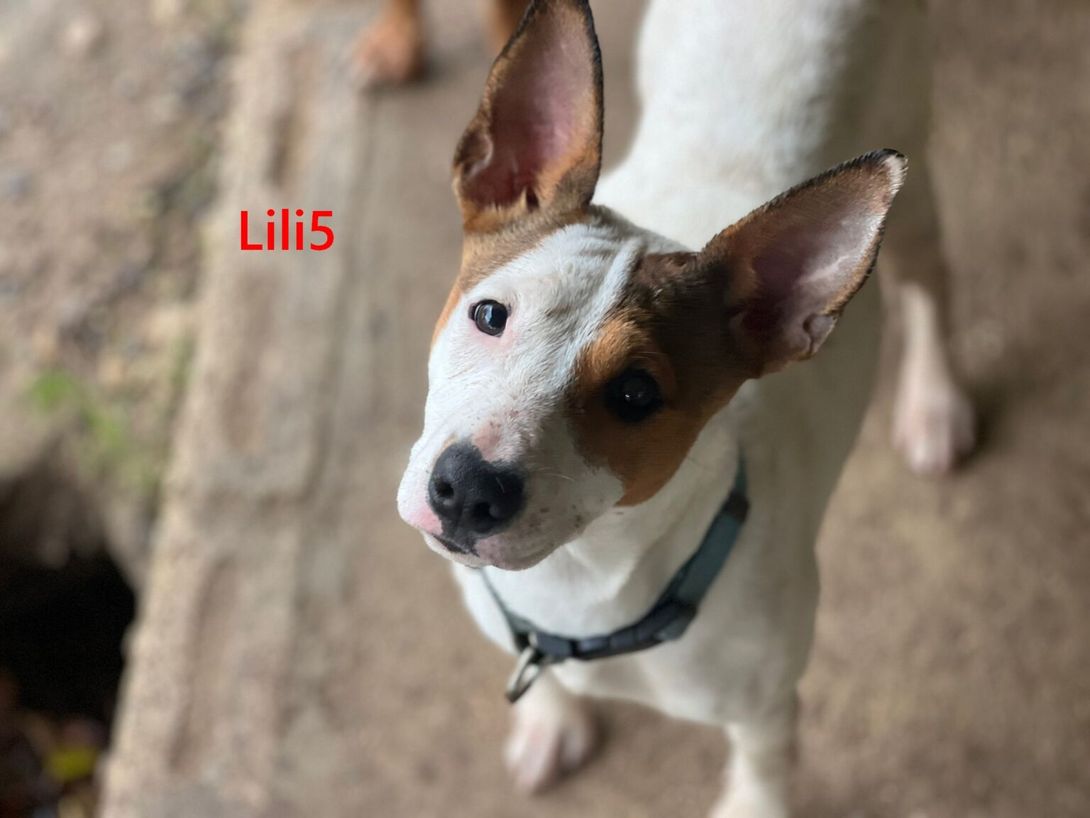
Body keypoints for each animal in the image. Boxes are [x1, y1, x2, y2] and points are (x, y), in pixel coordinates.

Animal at [398, 0, 974, 814]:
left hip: (913, 171)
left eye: (635, 394)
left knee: (930, 283)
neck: (577, 589)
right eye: (488, 314)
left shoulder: (767, 705)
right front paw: (552, 720)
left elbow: (762, 772)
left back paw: (935, 402)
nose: (467, 488)